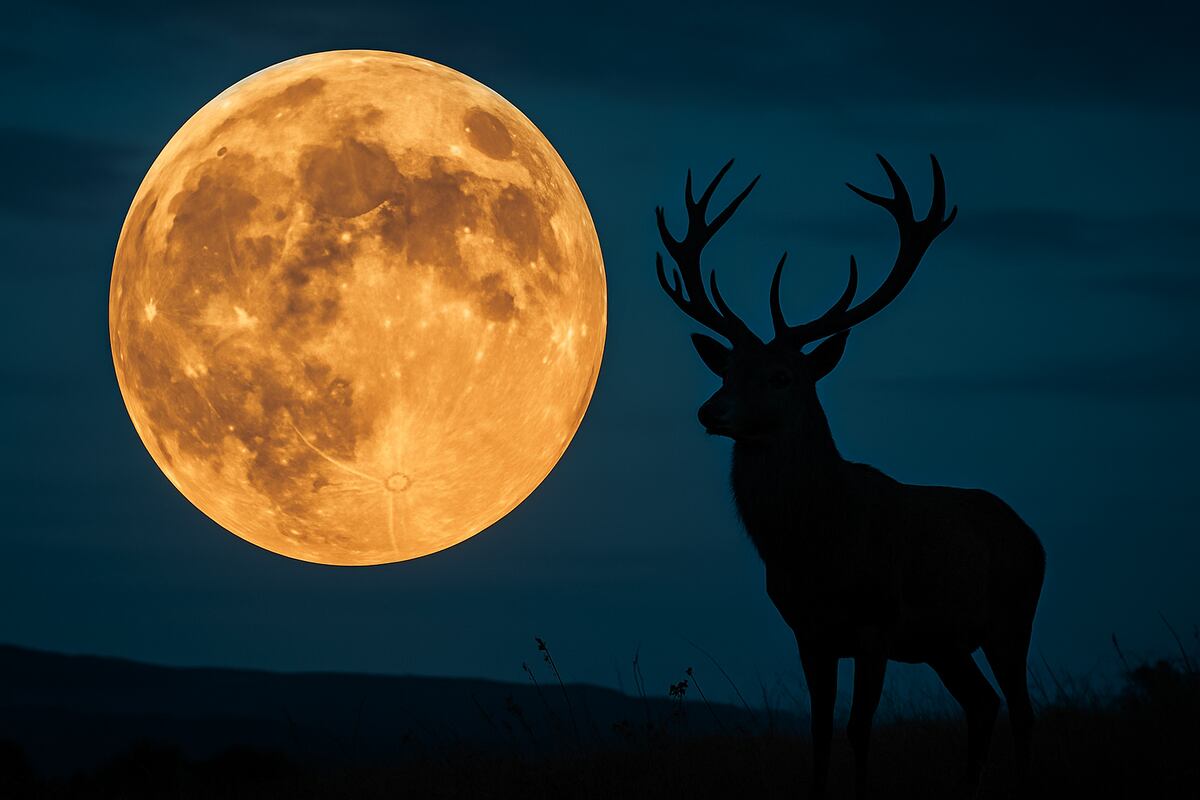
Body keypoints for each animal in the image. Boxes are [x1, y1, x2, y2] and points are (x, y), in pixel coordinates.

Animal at [654, 155, 1046, 798]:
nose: (711, 412)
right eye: (727, 370)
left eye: (783, 375)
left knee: (1023, 711)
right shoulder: (808, 633)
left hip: (1012, 616)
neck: (816, 547)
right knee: (982, 703)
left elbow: (860, 730)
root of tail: (1031, 535)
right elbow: (818, 734)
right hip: (943, 642)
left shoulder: (875, 623)